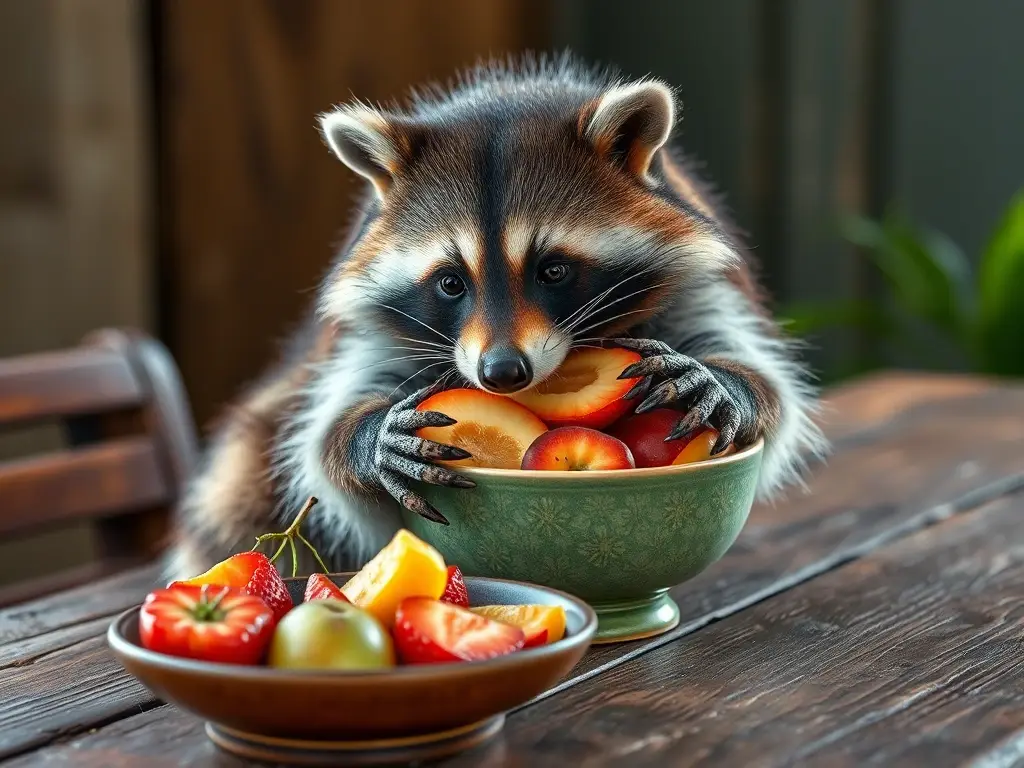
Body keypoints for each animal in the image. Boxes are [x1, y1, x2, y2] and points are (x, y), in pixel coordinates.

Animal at [165, 54, 827, 580]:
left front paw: (727, 383)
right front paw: (366, 436)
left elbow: (766, 383)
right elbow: (322, 436)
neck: (505, 96)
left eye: (553, 271)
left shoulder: (702, 284)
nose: (502, 372)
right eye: (451, 283)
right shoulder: (371, 328)